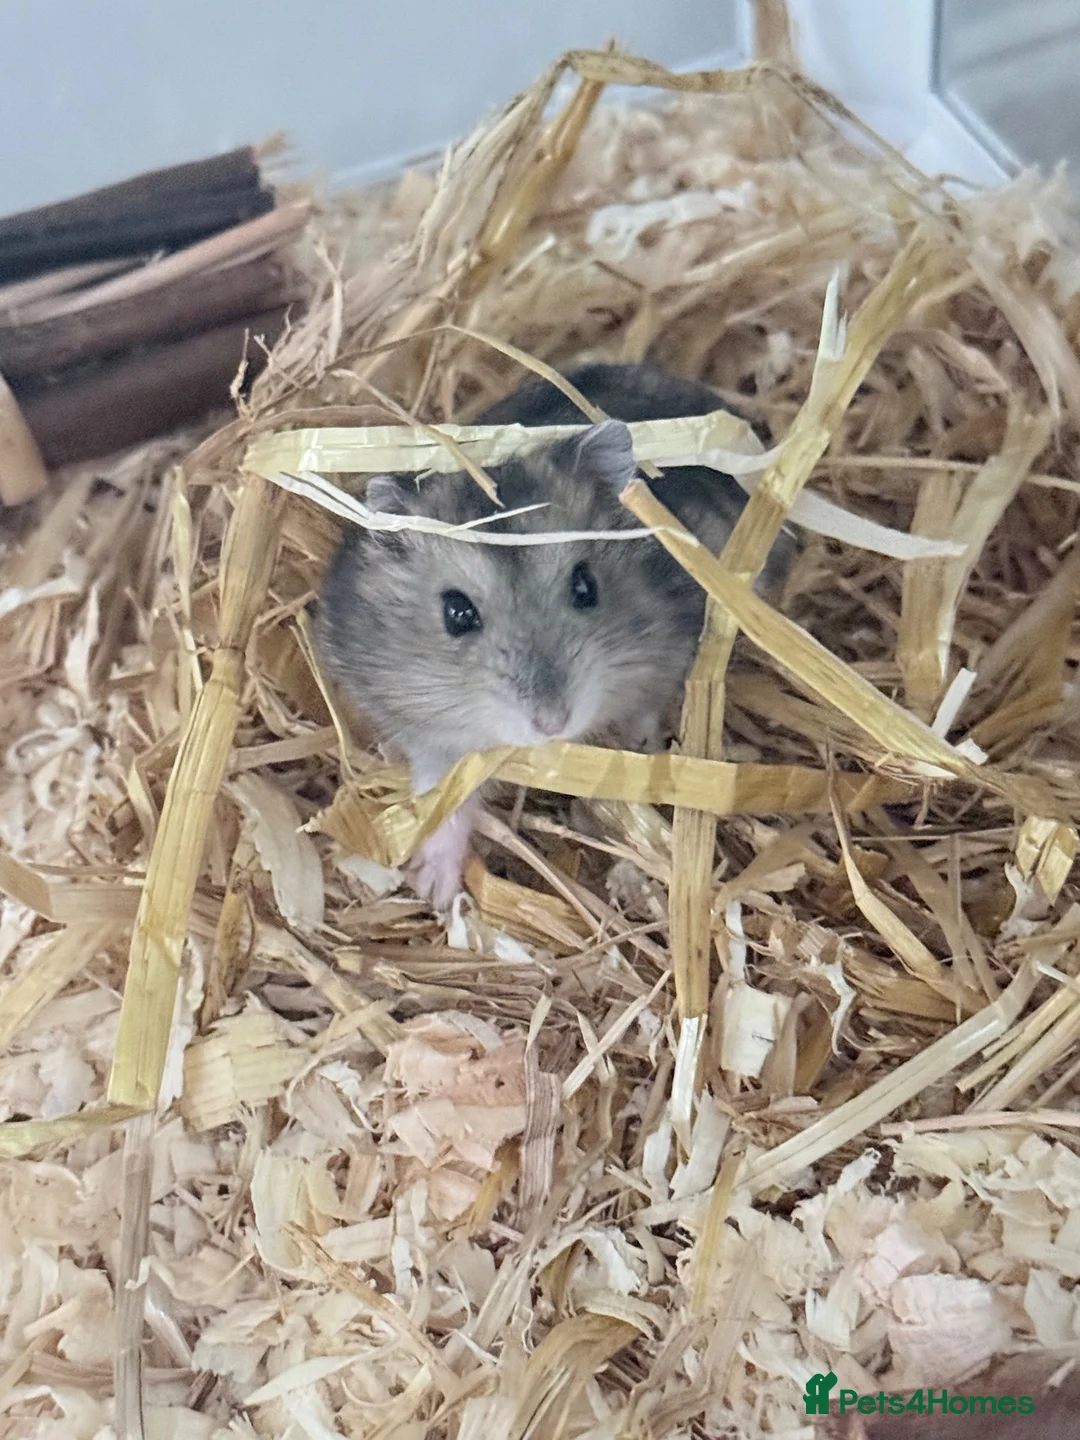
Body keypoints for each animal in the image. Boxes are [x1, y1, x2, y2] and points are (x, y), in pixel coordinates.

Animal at [317, 362, 797, 907]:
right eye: (457, 613)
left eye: (586, 586)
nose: (552, 723)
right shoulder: (430, 734)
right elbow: (445, 799)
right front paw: (435, 893)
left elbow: (643, 725)